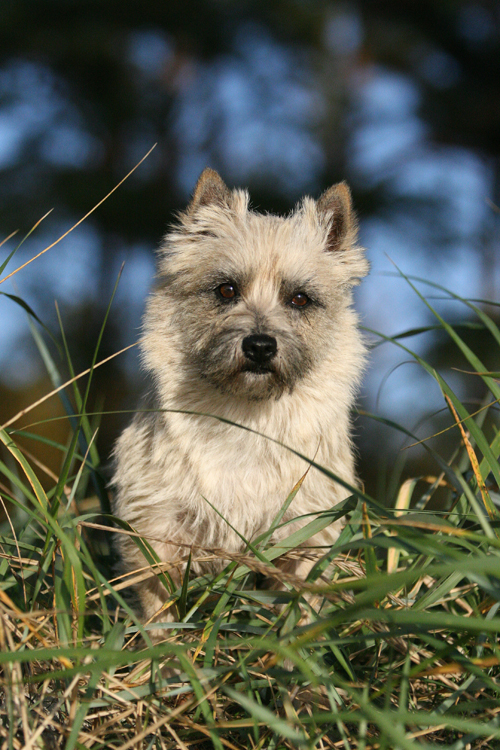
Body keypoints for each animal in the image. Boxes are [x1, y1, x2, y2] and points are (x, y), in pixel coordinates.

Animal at [113, 169, 370, 628]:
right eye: (226, 290)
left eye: (300, 298)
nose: (260, 346)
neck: (245, 416)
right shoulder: (157, 529)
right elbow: (159, 609)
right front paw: (165, 648)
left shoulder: (305, 534)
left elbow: (301, 602)